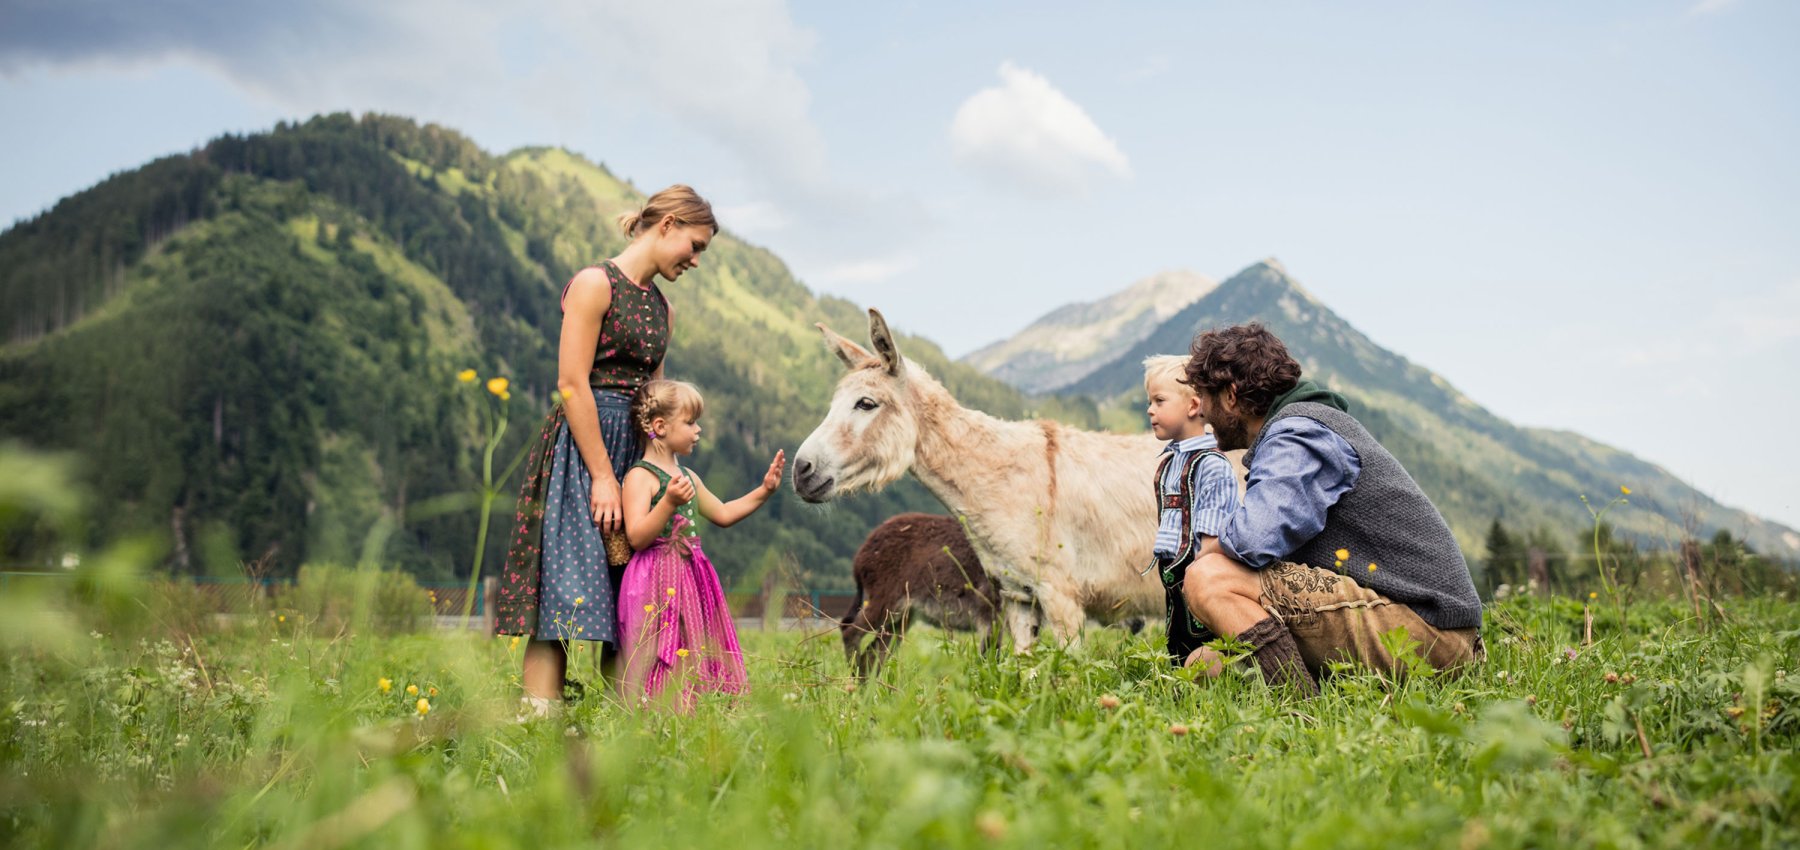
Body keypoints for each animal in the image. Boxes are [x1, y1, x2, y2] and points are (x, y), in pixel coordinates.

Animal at [838, 511, 1008, 677]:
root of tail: (861, 553)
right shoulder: (991, 613)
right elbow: (991, 657)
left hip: (902, 616)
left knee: (872, 656)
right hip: (886, 601)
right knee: (849, 631)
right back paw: (854, 676)